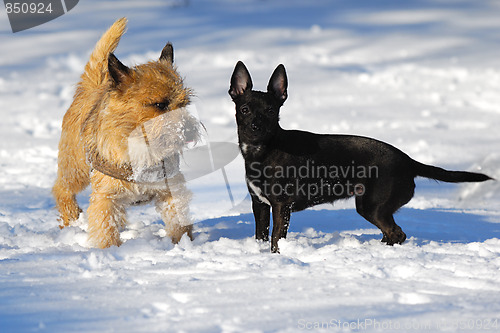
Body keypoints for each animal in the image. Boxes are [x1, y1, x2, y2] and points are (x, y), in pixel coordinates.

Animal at [51, 18, 199, 246]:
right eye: (159, 104)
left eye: (185, 103)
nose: (190, 130)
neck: (142, 147)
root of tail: (93, 87)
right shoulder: (104, 198)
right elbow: (105, 228)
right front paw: (110, 250)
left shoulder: (171, 189)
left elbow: (177, 219)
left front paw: (182, 243)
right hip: (76, 169)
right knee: (61, 189)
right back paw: (71, 216)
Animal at [229, 61, 492, 252]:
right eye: (244, 109)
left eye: (271, 111)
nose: (256, 126)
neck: (262, 151)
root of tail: (407, 160)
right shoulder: (259, 205)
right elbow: (261, 236)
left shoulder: (282, 205)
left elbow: (276, 239)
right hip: (372, 207)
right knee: (393, 233)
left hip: (373, 206)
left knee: (397, 233)